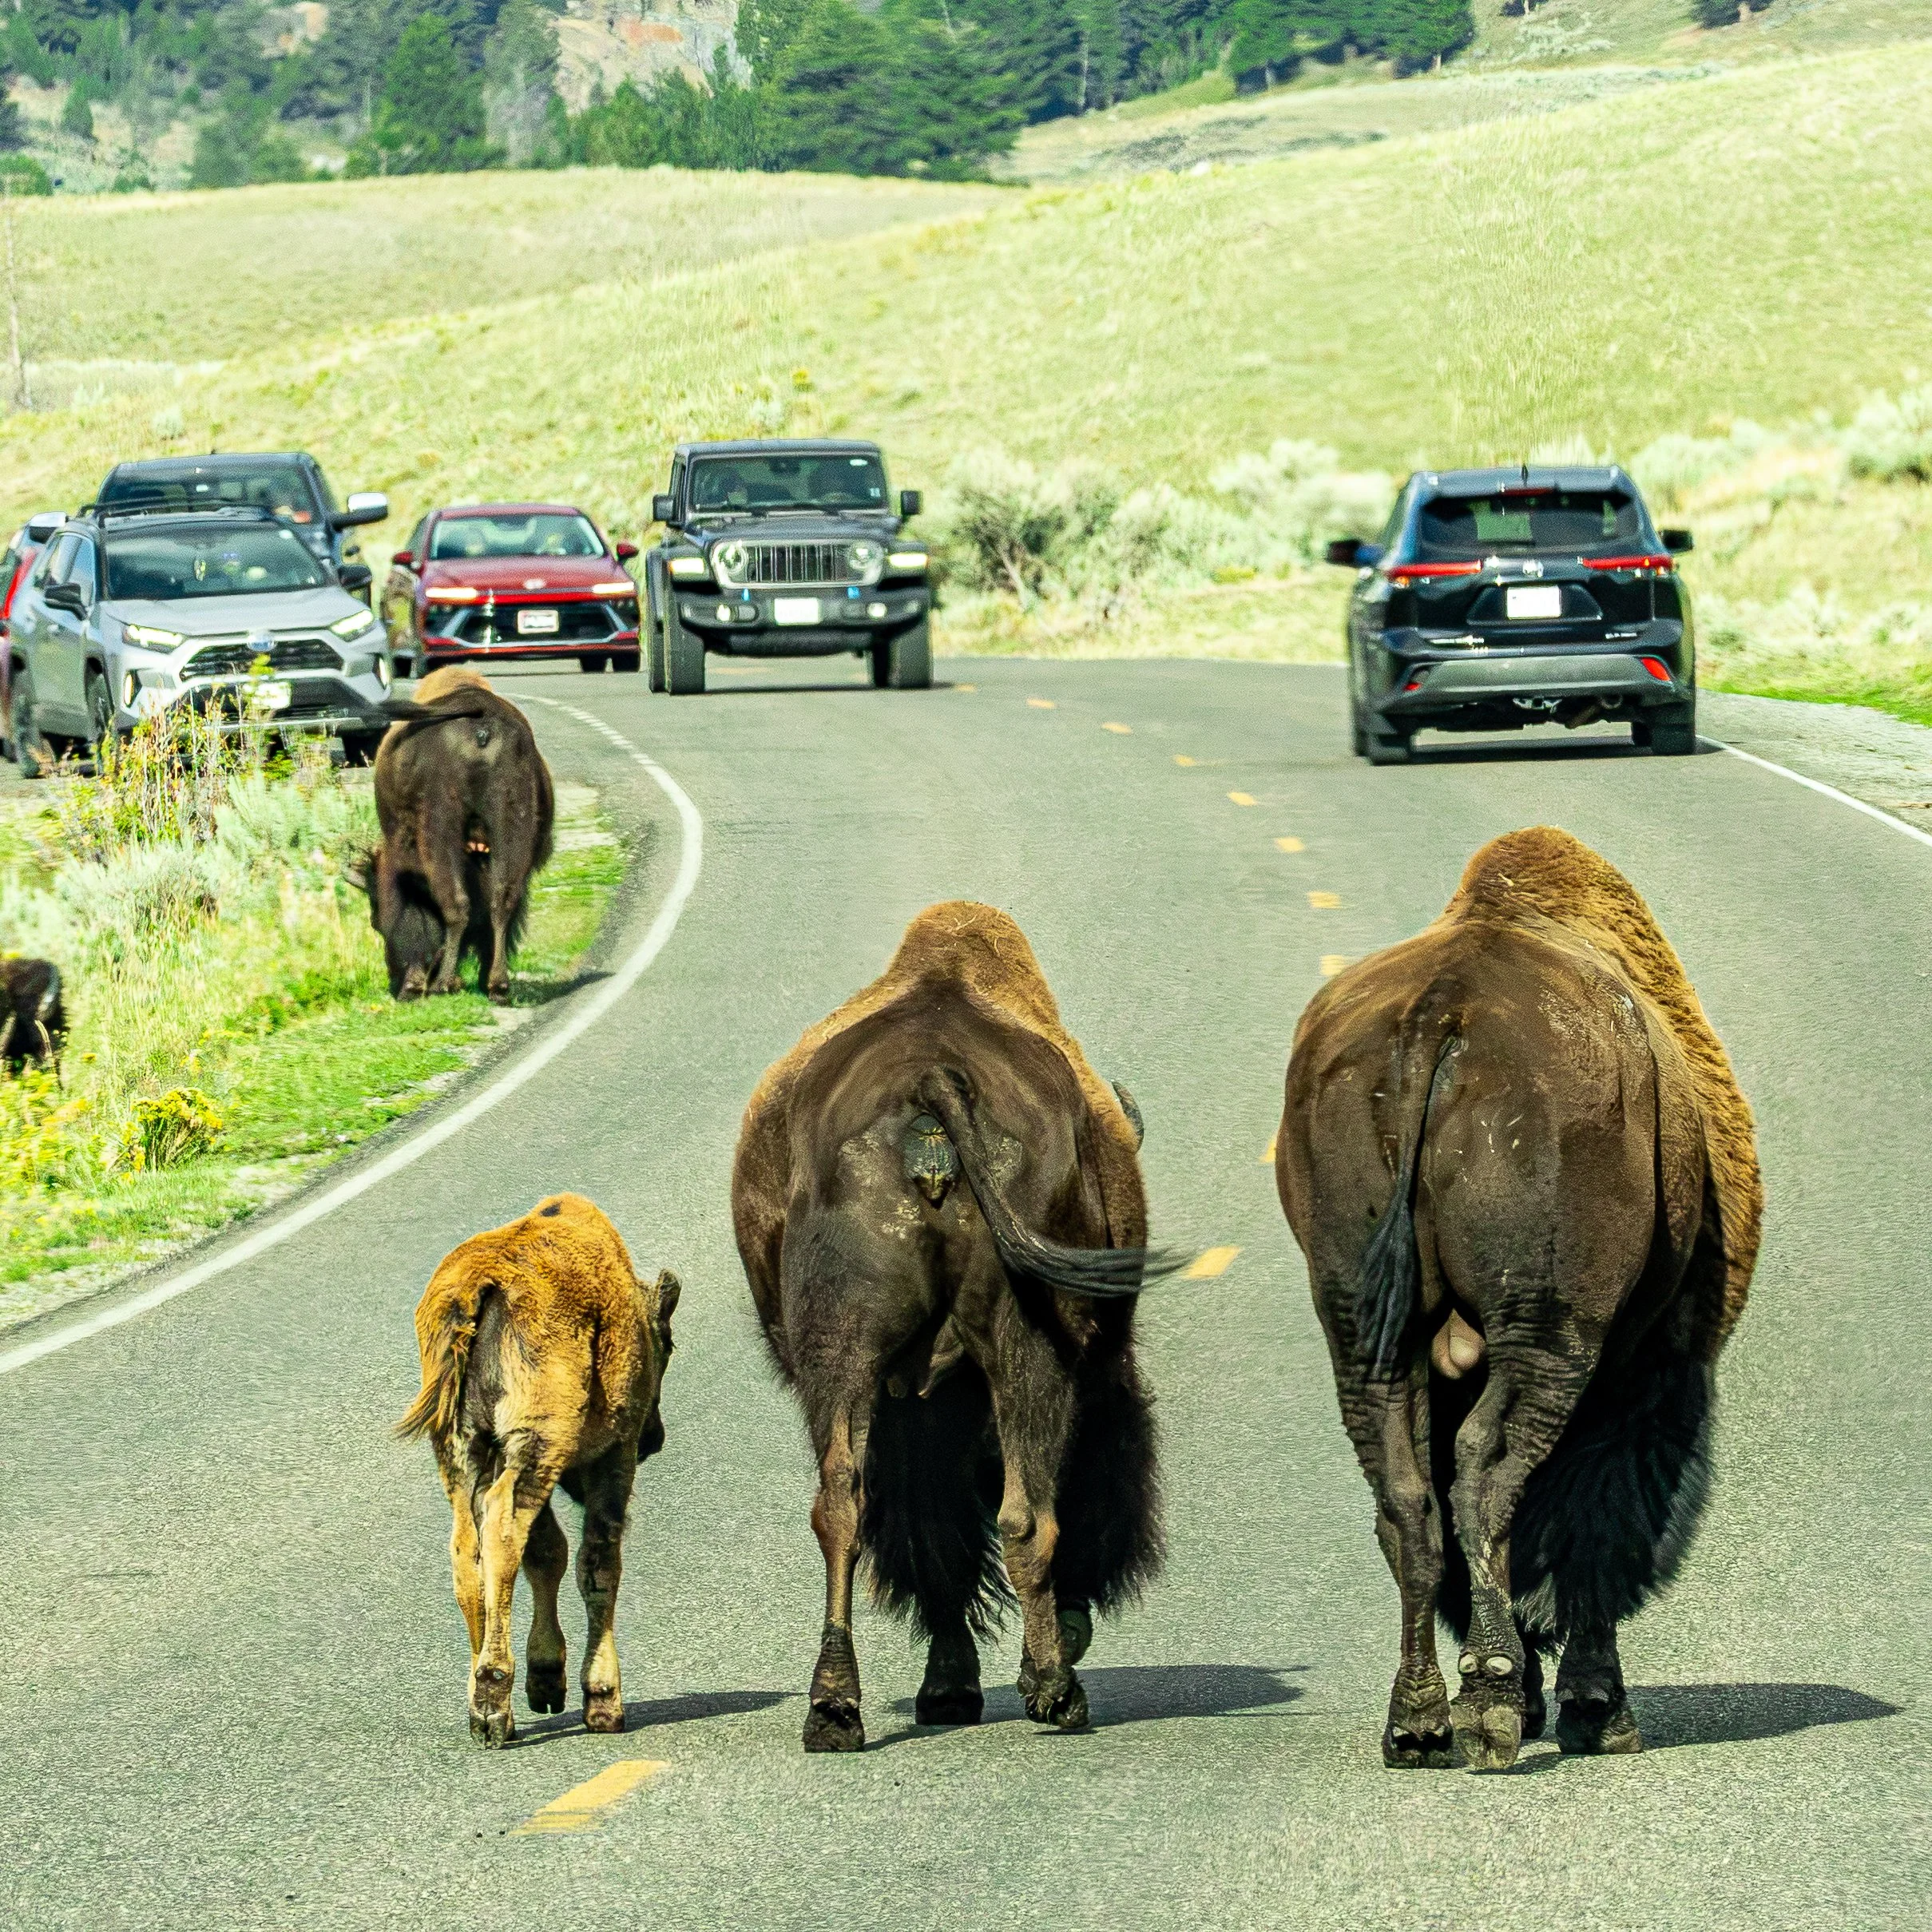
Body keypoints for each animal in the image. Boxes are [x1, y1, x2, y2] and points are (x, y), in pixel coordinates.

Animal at [361, 668, 553, 1002]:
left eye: (377, 921)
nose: (396, 986)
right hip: (511, 821)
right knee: (502, 900)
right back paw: (497, 985)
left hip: (441, 829)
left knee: (456, 905)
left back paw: (444, 983)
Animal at [397, 1193, 680, 1747]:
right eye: (669, 1343)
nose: (654, 1437)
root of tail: (479, 1288)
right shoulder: (611, 1458)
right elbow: (597, 1563)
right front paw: (602, 1702)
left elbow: (547, 1554)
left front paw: (547, 1681)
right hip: (534, 1447)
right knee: (506, 1533)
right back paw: (491, 1703)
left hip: (463, 1452)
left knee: (470, 1547)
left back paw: (488, 1702)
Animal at [733, 901, 1173, 1751]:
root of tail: (931, 1082)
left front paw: (946, 1688)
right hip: (1029, 1345)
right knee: (1026, 1514)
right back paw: (1056, 1690)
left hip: (844, 1353)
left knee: (842, 1503)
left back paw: (833, 1708)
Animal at [1276, 827, 1761, 1771]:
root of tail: (1439, 1016)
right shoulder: (1642, 1371)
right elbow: (1592, 1522)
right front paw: (1595, 1710)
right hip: (1548, 1335)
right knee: (1489, 1478)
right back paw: (1493, 1703)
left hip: (1364, 1331)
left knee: (1410, 1500)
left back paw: (1419, 1722)